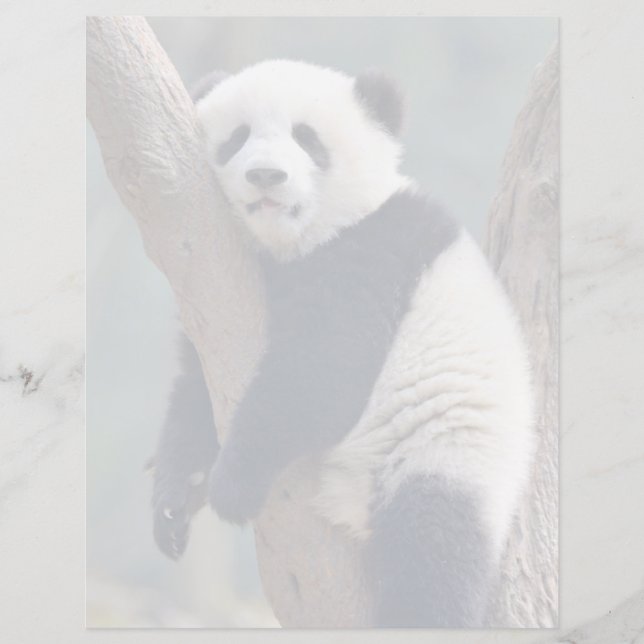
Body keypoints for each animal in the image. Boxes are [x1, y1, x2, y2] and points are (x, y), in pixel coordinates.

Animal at [151, 59, 535, 628]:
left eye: (307, 138)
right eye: (237, 138)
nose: (266, 175)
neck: (295, 246)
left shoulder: (376, 251)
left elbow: (322, 377)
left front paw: (231, 486)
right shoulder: (218, 293)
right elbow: (199, 388)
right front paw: (175, 500)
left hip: (445, 454)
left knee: (434, 553)